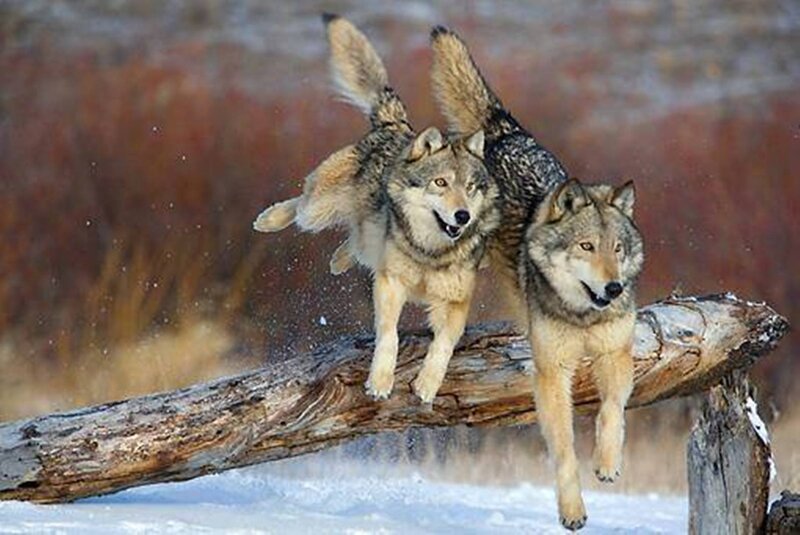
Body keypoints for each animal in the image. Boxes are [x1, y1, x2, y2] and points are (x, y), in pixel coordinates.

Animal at [253, 15, 499, 403]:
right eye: (440, 183)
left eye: (470, 188)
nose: (463, 216)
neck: (428, 252)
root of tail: (396, 126)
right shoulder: (390, 284)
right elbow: (389, 335)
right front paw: (381, 381)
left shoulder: (457, 302)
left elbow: (444, 345)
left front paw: (428, 386)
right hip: (318, 210)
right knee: (299, 206)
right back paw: (268, 220)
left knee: (354, 244)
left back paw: (337, 262)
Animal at [429, 27, 644, 530]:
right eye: (586, 247)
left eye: (617, 250)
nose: (614, 289)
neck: (583, 316)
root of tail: (506, 131)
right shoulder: (553, 373)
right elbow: (563, 450)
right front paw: (572, 511)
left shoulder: (616, 353)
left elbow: (612, 410)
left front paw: (608, 463)